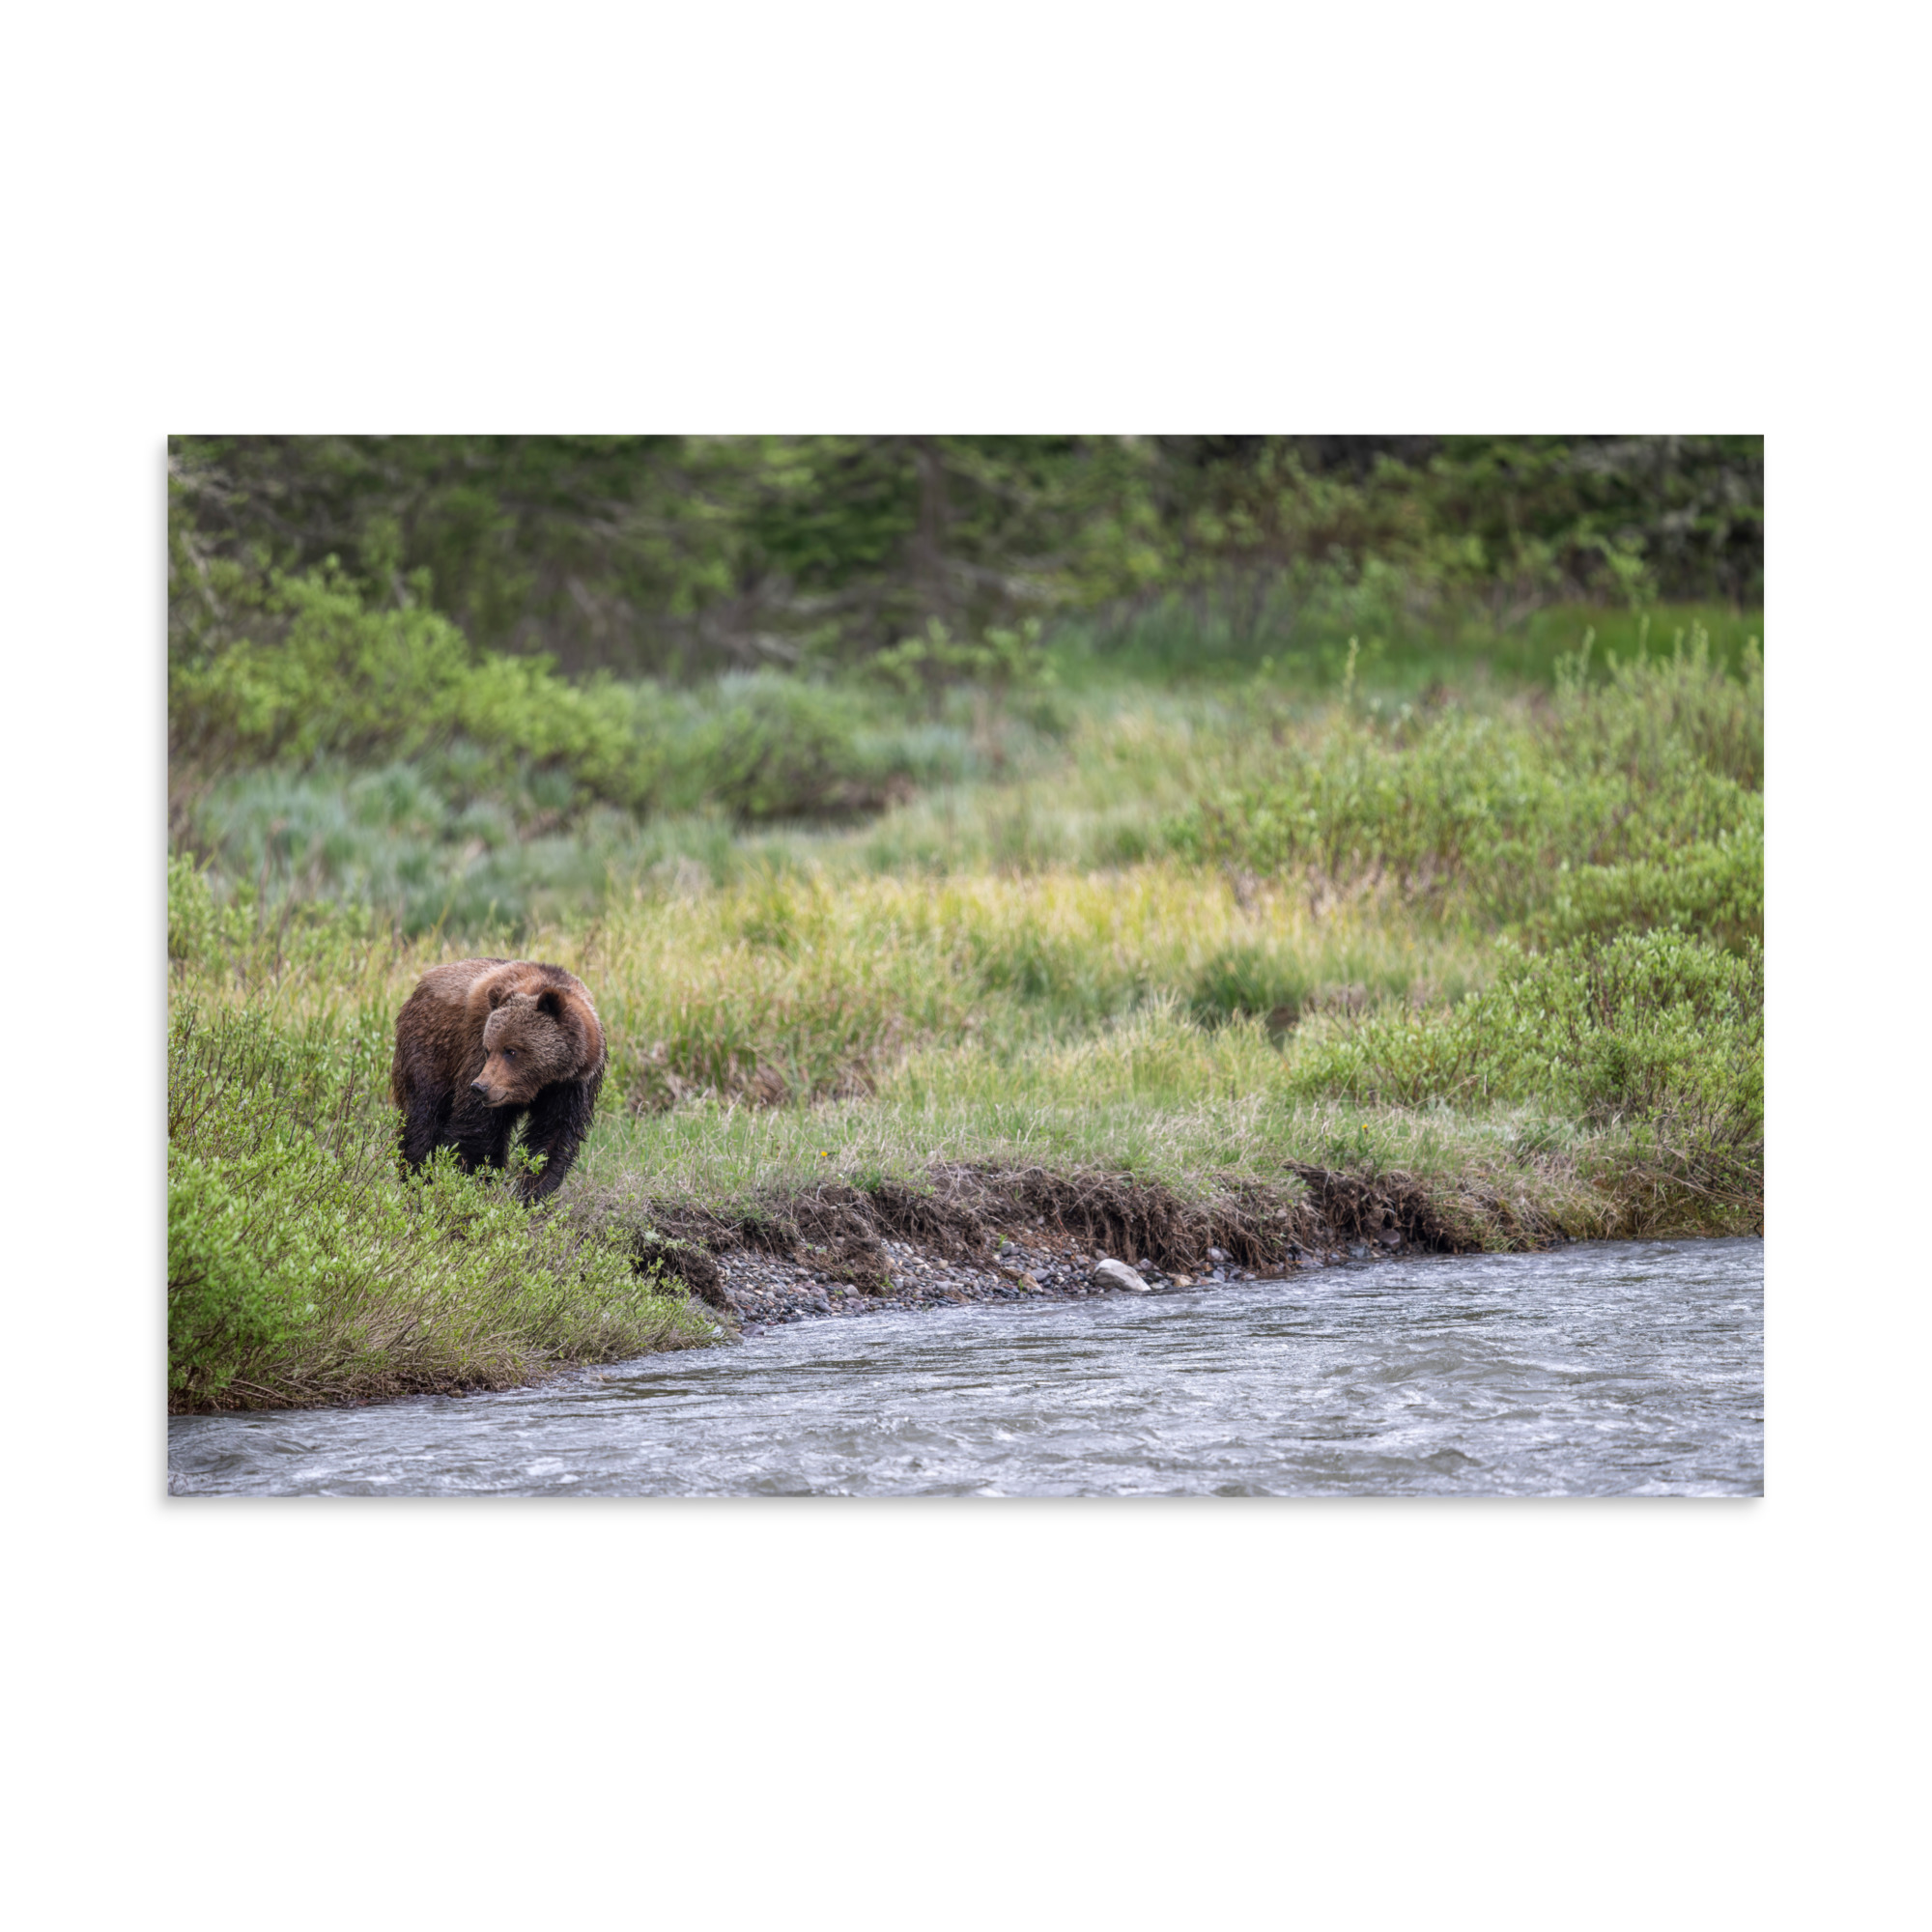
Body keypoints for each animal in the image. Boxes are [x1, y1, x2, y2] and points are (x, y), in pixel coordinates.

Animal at [391, 958, 606, 1200]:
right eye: (488, 1049)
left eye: (511, 1050)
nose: (480, 1087)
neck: (543, 1081)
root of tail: (422, 982)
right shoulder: (475, 1052)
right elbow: (478, 1129)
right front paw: (475, 1184)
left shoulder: (572, 1086)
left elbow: (553, 1139)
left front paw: (532, 1194)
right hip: (431, 1049)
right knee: (422, 1117)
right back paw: (416, 1180)